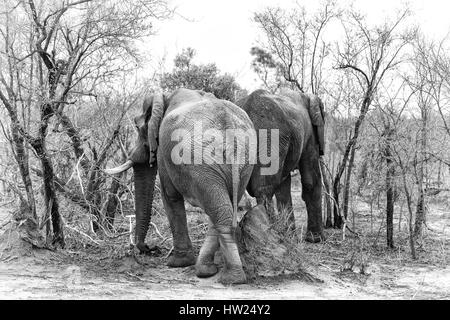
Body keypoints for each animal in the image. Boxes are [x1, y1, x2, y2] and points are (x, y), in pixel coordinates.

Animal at [103, 88, 255, 284]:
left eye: (137, 126)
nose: (149, 248)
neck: (165, 97)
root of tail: (229, 128)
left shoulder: (163, 151)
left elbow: (169, 196)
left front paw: (177, 263)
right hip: (242, 164)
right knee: (222, 209)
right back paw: (209, 271)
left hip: (202, 163)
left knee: (218, 212)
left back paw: (229, 278)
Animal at [236, 87, 326, 242]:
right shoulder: (309, 135)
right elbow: (311, 181)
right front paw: (316, 239)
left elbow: (283, 186)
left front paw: (291, 236)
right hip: (270, 135)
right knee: (264, 188)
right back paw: (270, 235)